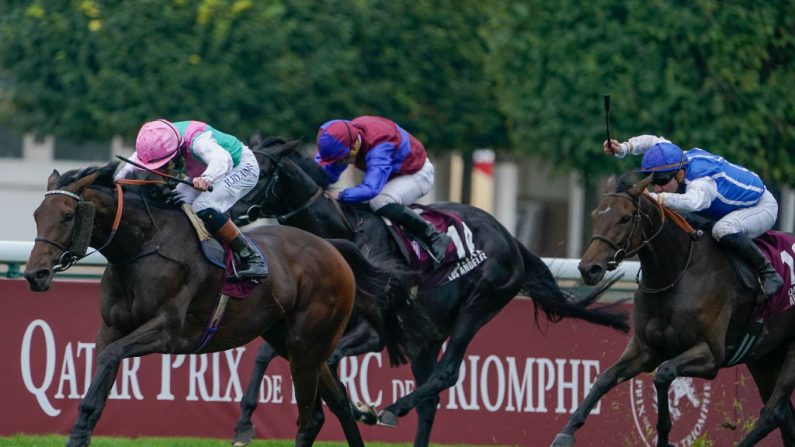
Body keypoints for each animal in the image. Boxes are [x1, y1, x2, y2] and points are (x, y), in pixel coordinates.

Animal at [23, 164, 410, 447]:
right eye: (37, 214)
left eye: (68, 216)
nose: (34, 274)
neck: (144, 246)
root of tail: (333, 248)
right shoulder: (111, 329)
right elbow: (99, 383)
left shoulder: (166, 330)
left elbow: (109, 358)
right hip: (290, 341)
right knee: (337, 404)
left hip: (309, 342)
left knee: (307, 415)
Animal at [227, 138, 632, 446]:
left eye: (261, 173)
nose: (230, 210)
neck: (343, 233)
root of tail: (510, 238)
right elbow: (265, 354)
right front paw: (244, 422)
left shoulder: (372, 333)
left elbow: (329, 359)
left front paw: (358, 407)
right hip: (428, 336)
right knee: (430, 399)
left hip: (477, 305)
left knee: (447, 374)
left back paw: (391, 409)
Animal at [552, 174, 795, 447]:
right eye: (595, 214)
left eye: (625, 218)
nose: (588, 269)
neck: (677, 274)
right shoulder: (646, 348)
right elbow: (604, 378)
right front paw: (566, 432)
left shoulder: (711, 355)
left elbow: (663, 374)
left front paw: (664, 436)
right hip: (764, 357)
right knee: (784, 416)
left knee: (773, 413)